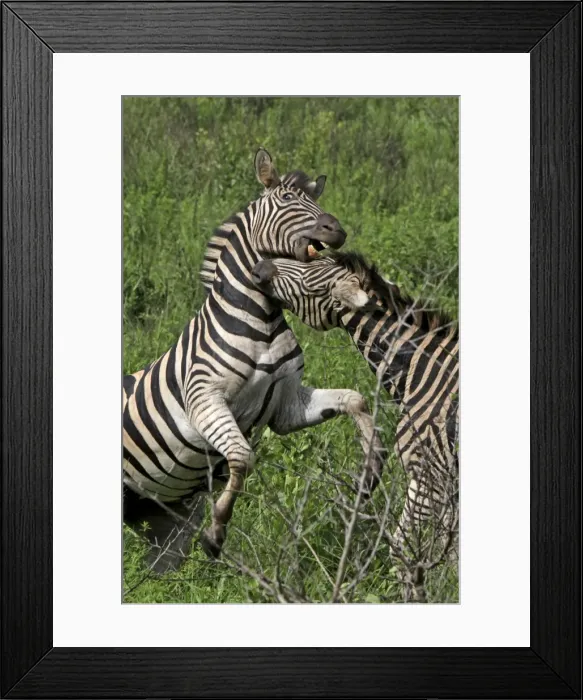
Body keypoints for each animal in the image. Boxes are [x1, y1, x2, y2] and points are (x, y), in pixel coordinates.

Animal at [123, 151, 384, 571]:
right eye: (286, 200)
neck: (261, 318)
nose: (337, 229)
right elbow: (243, 459)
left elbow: (355, 399)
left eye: (316, 200)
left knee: (160, 570)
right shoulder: (204, 399)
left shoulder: (286, 407)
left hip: (163, 517)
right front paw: (215, 534)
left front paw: (371, 472)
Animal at [251, 252, 459, 573]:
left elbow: (401, 550)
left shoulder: (428, 475)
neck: (421, 371)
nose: (259, 267)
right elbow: (450, 555)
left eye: (309, 283)